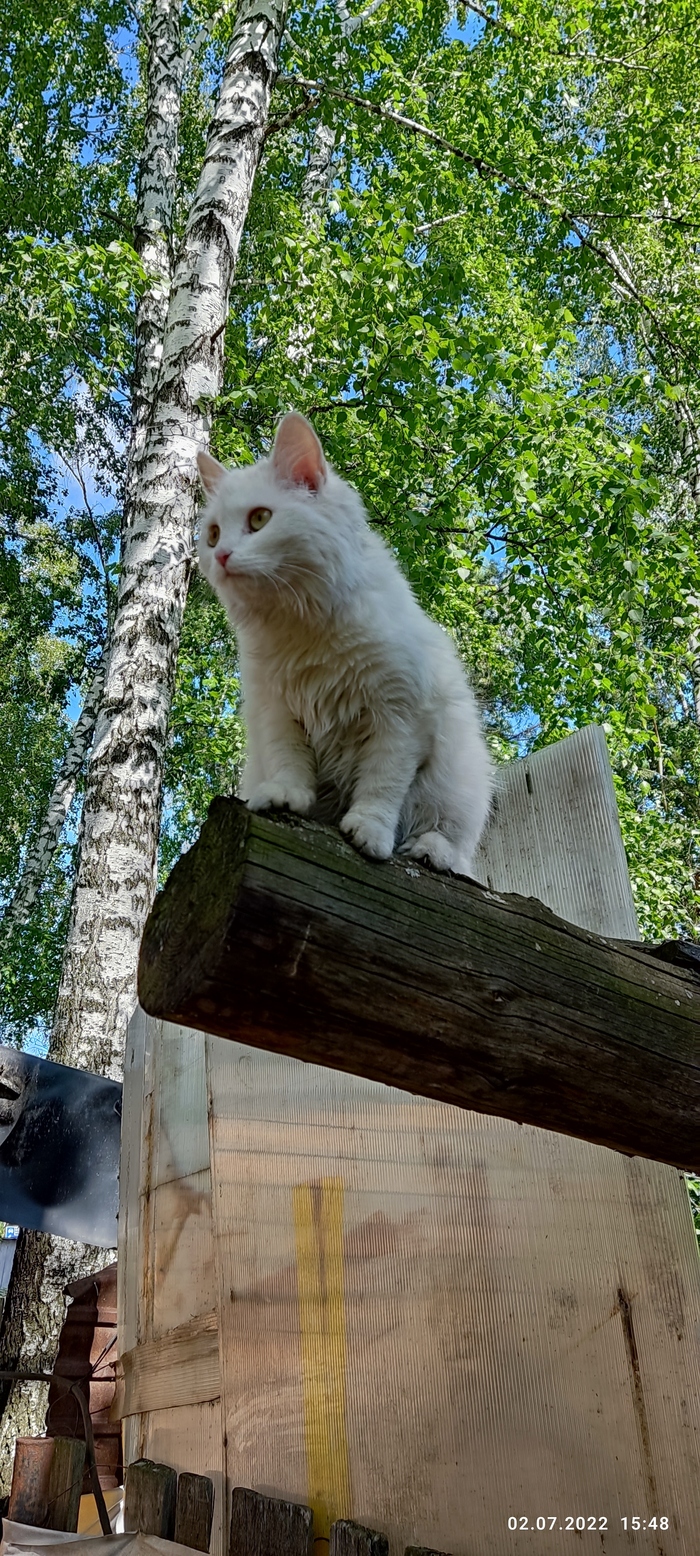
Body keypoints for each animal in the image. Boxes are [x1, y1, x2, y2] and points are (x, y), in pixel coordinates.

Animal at [196, 412, 493, 874]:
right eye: (211, 535)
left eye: (260, 519)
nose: (222, 556)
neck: (301, 626)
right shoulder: (276, 709)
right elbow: (289, 760)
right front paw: (285, 797)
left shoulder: (401, 716)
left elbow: (382, 784)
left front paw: (369, 833)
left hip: (460, 783)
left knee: (454, 845)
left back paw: (429, 851)